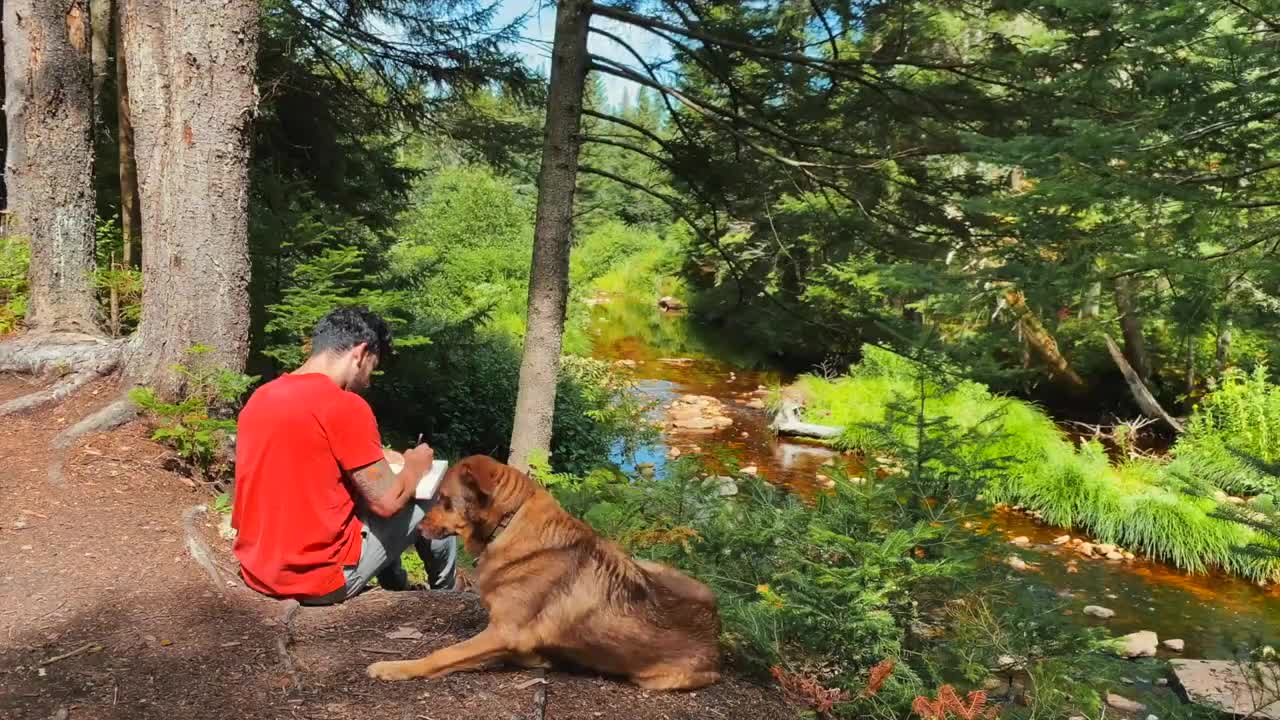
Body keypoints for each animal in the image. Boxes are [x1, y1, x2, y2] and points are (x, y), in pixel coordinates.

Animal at [366, 450, 727, 686]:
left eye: (443, 500)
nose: (417, 527)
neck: (509, 522)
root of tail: (717, 635)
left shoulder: (503, 632)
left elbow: (441, 654)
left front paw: (395, 667)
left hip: (653, 679)